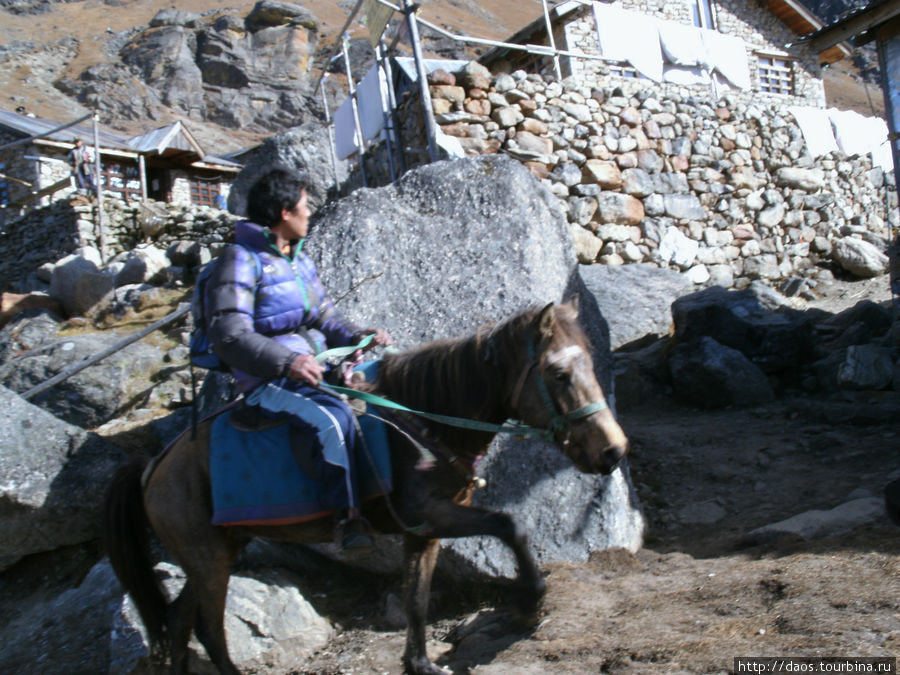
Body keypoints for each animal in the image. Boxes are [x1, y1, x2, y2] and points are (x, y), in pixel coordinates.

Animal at [103, 302, 624, 675]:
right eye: (559, 373)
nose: (613, 451)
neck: (422, 421)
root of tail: (156, 465)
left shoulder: (423, 530)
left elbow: (416, 598)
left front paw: (419, 664)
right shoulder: (434, 514)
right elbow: (511, 524)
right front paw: (532, 598)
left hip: (214, 554)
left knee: (177, 622)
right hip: (208, 560)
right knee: (209, 630)